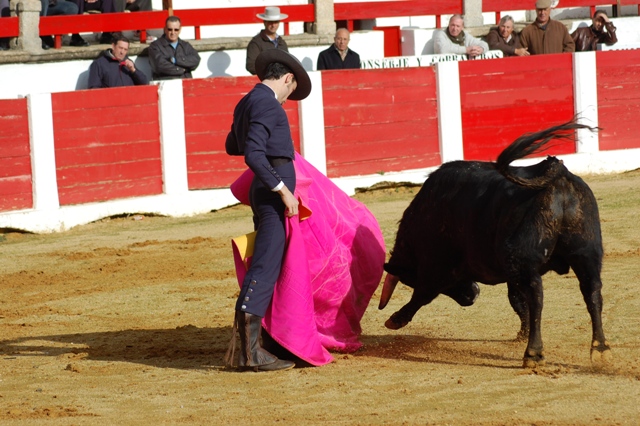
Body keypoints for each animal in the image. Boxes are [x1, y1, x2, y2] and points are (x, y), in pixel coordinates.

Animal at [378, 121, 612, 368]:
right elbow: (516, 301)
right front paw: (522, 333)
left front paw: (396, 319)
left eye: (409, 279)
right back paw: (600, 349)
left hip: (526, 261)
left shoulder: (437, 268)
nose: (472, 295)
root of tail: (558, 174)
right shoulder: (509, 273)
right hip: (587, 253)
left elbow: (422, 294)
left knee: (537, 296)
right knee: (592, 292)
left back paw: (534, 353)